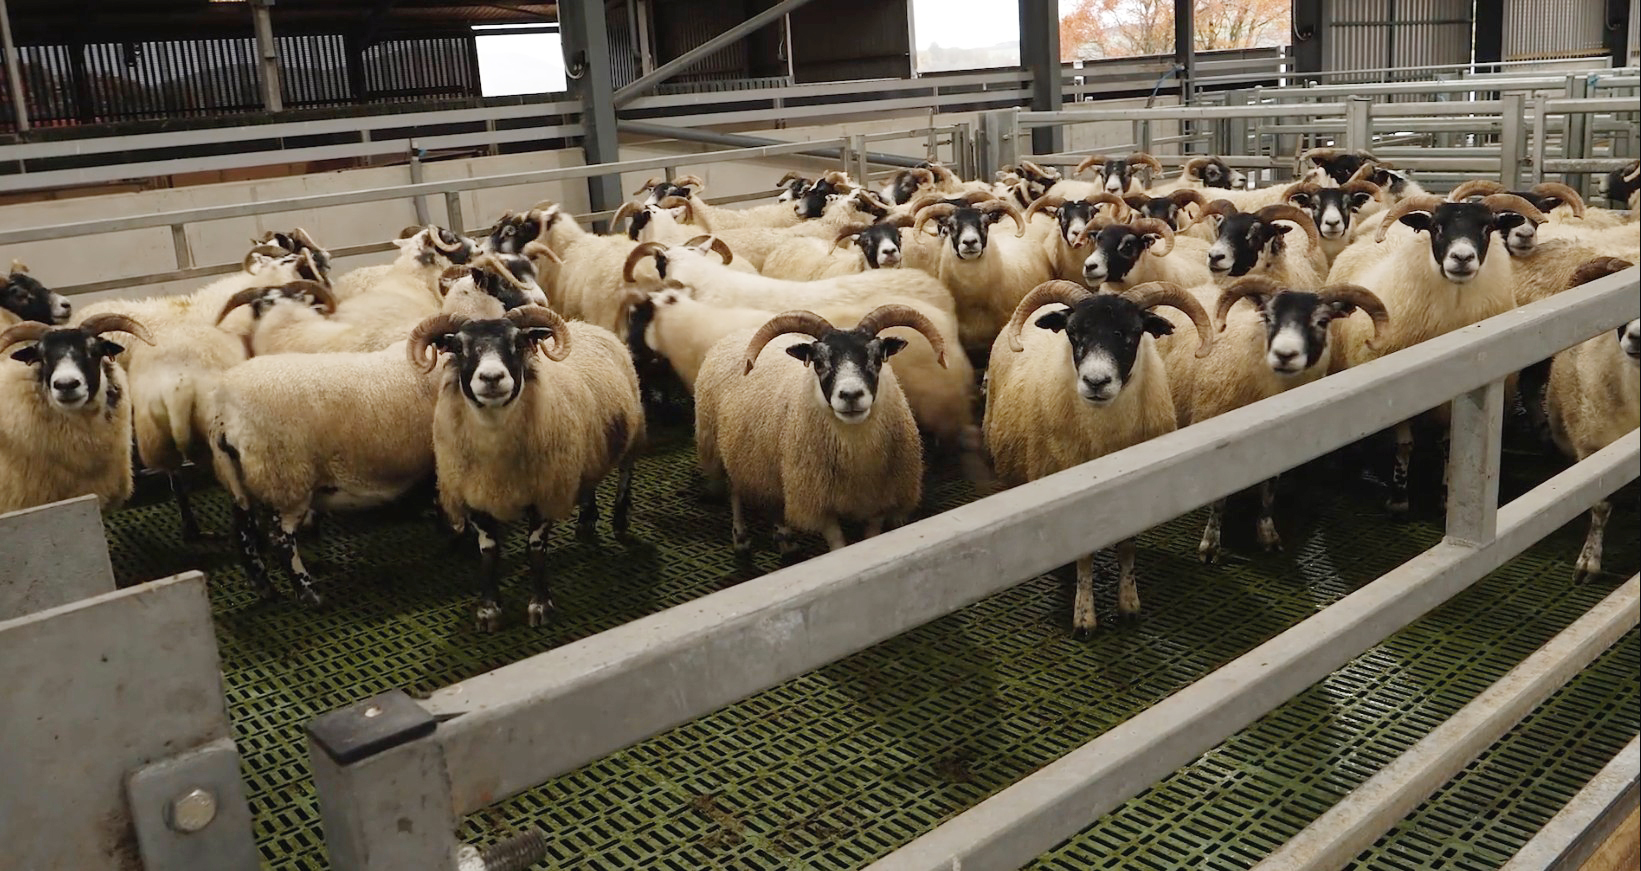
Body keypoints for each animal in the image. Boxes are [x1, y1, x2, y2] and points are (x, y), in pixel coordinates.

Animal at [208, 328, 441, 606]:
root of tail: (224, 416)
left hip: (241, 482)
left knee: (244, 533)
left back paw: (265, 589)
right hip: (286, 480)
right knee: (281, 539)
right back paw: (309, 593)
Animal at [407, 306, 644, 630]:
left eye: (518, 343)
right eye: (458, 346)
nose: (492, 378)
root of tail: (589, 326)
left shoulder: (545, 494)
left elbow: (535, 551)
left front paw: (540, 606)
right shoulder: (476, 499)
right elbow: (489, 552)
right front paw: (488, 610)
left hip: (632, 432)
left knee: (624, 475)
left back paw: (619, 521)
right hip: (587, 449)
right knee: (590, 481)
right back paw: (586, 520)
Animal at [694, 305, 946, 555]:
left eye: (877, 359)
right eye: (818, 363)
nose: (851, 395)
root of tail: (739, 333)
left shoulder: (880, 499)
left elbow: (871, 536)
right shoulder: (818, 503)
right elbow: (837, 544)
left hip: (765, 460)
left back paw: (784, 539)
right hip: (720, 445)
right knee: (735, 490)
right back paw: (741, 538)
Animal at [983, 280, 1214, 635]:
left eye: (1133, 333)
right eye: (1073, 333)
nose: (1096, 382)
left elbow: (1127, 548)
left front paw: (1129, 605)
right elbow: (1084, 556)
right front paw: (1084, 618)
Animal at [1162, 277, 1388, 563]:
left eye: (1323, 321)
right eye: (1268, 317)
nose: (1285, 354)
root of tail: (1196, 286)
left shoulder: (1279, 447)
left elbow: (1269, 491)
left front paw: (1268, 536)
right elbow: (1219, 501)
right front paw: (1210, 546)